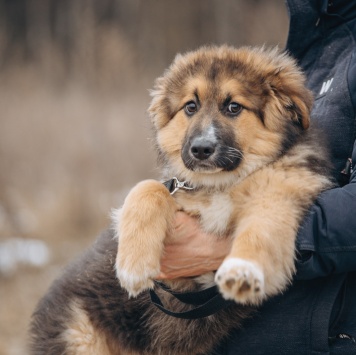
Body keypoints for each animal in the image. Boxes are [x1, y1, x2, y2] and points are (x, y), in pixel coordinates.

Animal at [29, 46, 334, 354]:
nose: (201, 149)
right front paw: (133, 265)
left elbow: (260, 231)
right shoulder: (177, 188)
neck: (222, 184)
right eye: (191, 107)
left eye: (234, 107)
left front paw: (243, 271)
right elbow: (149, 189)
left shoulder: (279, 198)